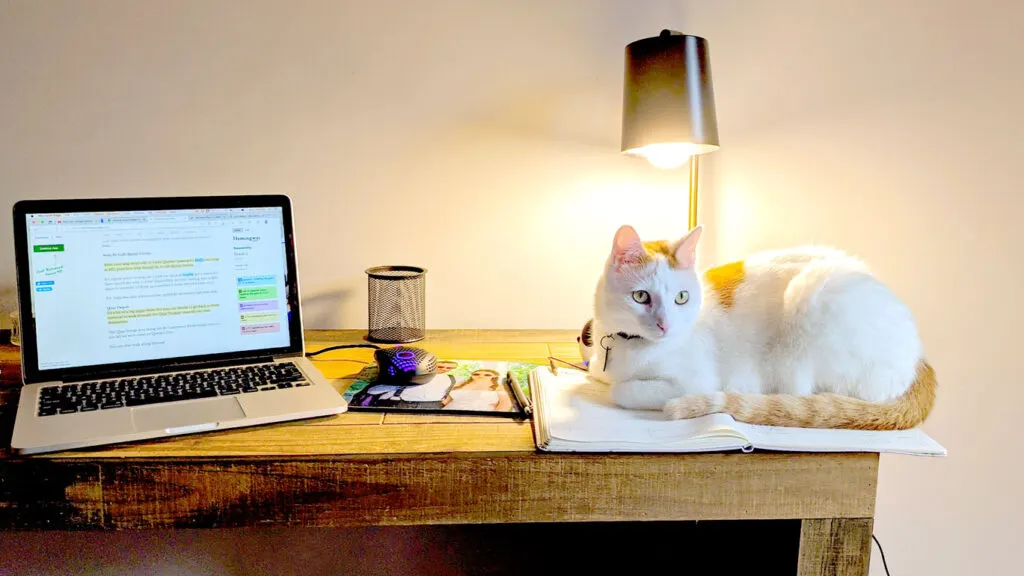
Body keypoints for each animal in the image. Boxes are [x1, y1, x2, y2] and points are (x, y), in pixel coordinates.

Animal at [593, 223, 937, 426]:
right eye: (641, 296)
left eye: (681, 298)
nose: (665, 325)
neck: (631, 346)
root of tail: (919, 359)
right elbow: (600, 377)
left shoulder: (694, 381)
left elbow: (620, 391)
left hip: (808, 300)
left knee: (797, 393)